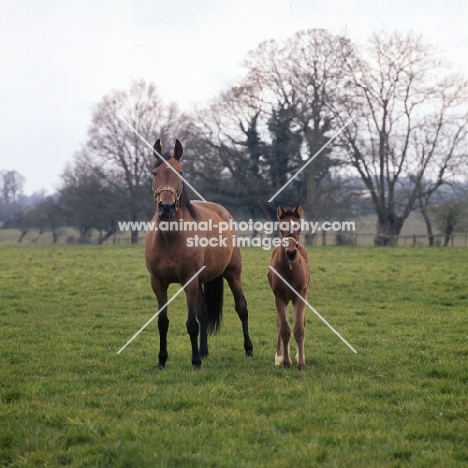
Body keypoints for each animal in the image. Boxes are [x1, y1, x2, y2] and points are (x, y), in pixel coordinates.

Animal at [145, 139, 252, 370]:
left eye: (181, 173)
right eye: (154, 173)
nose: (166, 208)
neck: (169, 239)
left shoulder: (189, 281)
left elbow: (191, 324)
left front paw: (194, 362)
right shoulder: (158, 283)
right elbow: (163, 322)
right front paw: (162, 360)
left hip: (233, 274)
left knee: (242, 308)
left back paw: (248, 349)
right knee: (204, 313)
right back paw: (203, 351)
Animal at [266, 205, 310, 372]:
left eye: (299, 228)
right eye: (281, 228)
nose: (291, 253)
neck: (290, 270)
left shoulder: (300, 295)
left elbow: (299, 329)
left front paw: (301, 364)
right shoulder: (279, 297)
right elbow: (284, 329)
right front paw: (285, 363)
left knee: (302, 321)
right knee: (279, 322)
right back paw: (279, 356)